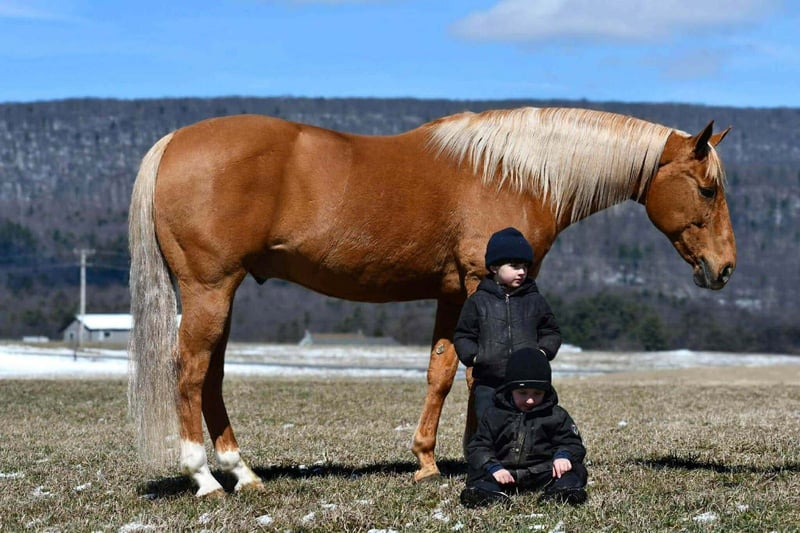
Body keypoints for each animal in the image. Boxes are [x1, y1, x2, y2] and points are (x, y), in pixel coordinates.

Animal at [128, 106, 735, 496]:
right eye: (708, 189)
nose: (723, 268)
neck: (514, 171)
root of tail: (173, 142)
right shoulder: (478, 283)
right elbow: (481, 371)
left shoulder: (453, 293)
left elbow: (443, 370)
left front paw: (425, 461)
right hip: (209, 289)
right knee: (189, 371)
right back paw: (205, 478)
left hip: (220, 294)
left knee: (211, 376)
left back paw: (242, 472)